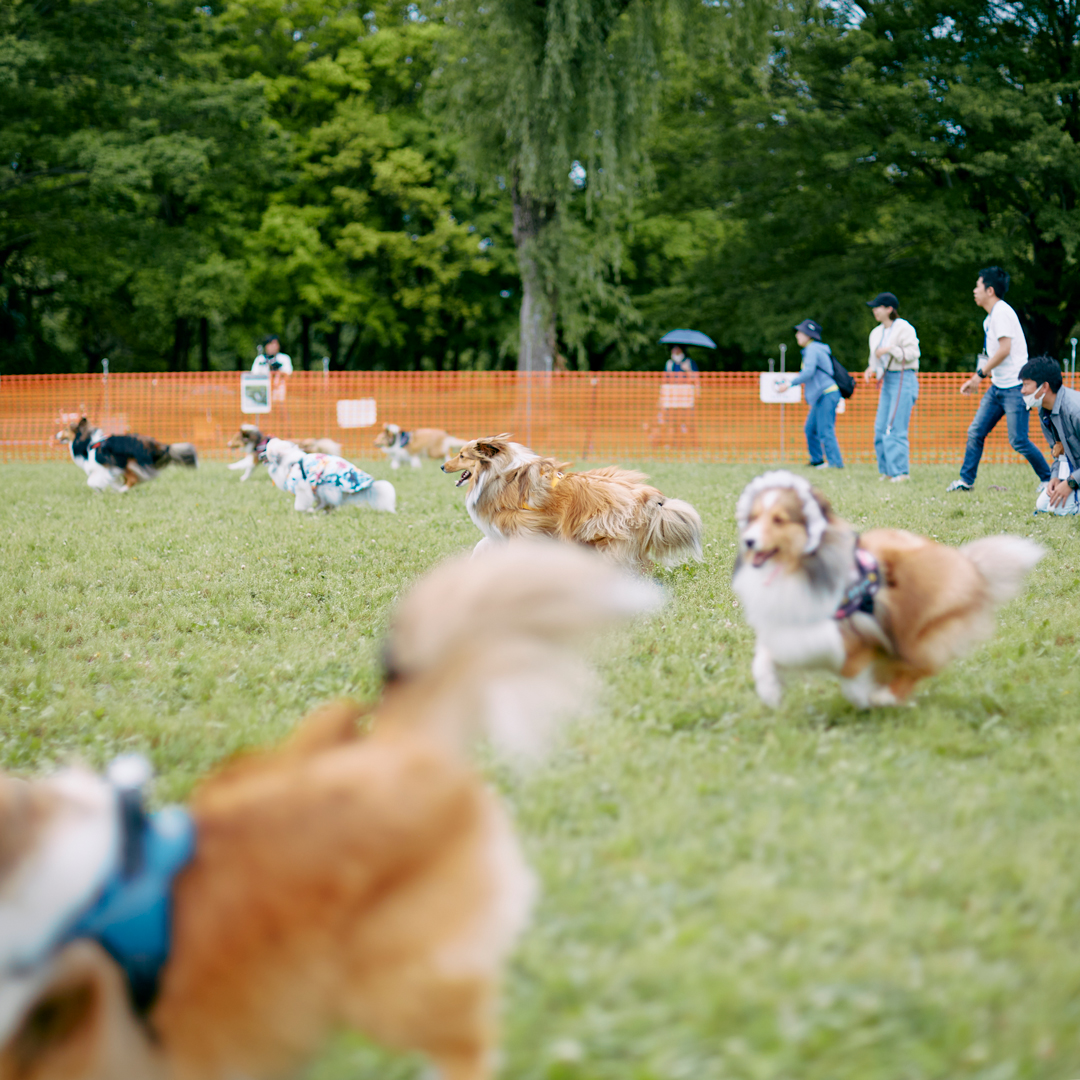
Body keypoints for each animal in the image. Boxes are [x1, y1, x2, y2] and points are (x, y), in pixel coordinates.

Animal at [56, 416, 197, 494]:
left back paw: (120, 491)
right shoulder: (112, 469)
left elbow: (91, 481)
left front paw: (99, 488)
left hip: (128, 463)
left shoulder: (103, 468)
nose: (56, 435)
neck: (88, 443)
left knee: (133, 480)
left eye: (66, 429)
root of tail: (157, 445)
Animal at [261, 434, 397, 509]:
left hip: (325, 485)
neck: (289, 463)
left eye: (266, 451)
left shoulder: (303, 488)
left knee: (328, 502)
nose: (260, 455)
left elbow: (299, 505)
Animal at [730, 470, 1041, 708]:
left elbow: (842, 664)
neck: (798, 570)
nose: (748, 541)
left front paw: (864, 697)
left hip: (920, 634)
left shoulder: (848, 633)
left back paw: (885, 698)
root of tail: (971, 566)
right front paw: (770, 692)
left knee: (916, 669)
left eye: (779, 519)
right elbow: (765, 657)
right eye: (753, 517)